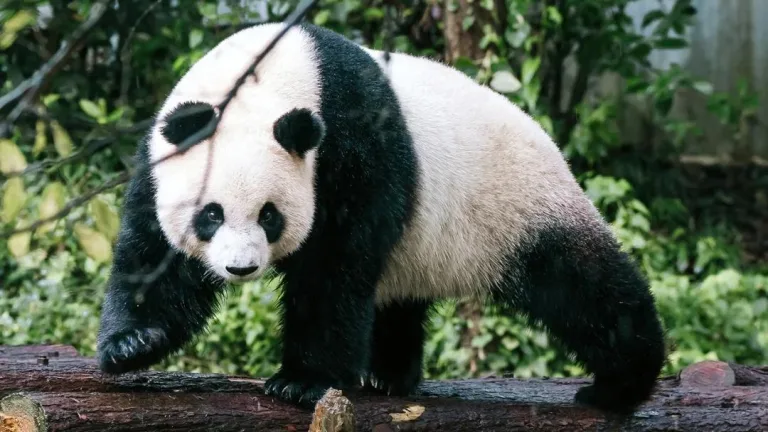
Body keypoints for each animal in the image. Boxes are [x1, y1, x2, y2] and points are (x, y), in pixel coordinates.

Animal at [96, 22, 666, 414]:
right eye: (210, 215)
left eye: (270, 215)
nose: (240, 268)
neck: (278, 74)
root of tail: (549, 141)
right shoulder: (159, 159)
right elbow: (154, 255)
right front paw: (133, 343)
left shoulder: (354, 142)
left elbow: (335, 264)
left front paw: (303, 380)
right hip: (426, 248)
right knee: (399, 300)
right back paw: (389, 375)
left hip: (519, 206)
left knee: (584, 287)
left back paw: (620, 385)